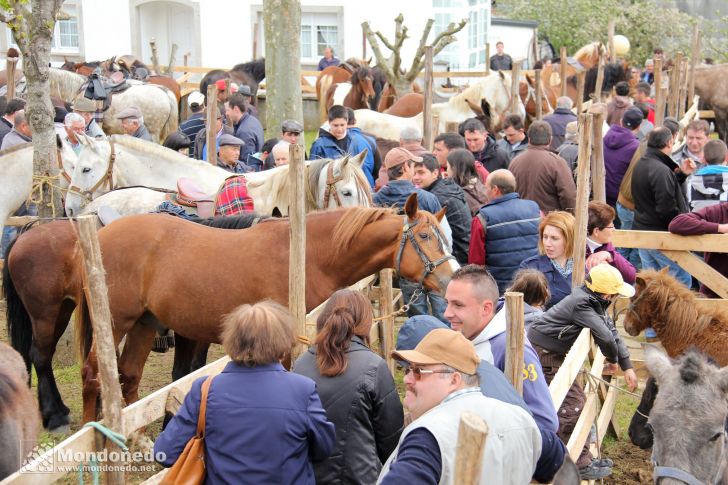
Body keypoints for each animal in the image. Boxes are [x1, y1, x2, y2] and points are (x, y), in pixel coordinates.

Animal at [78, 195, 456, 422]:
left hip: (144, 323)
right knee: (92, 374)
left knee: (128, 376)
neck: (307, 253)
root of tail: (98, 236)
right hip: (114, 323)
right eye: (425, 237)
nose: (451, 278)